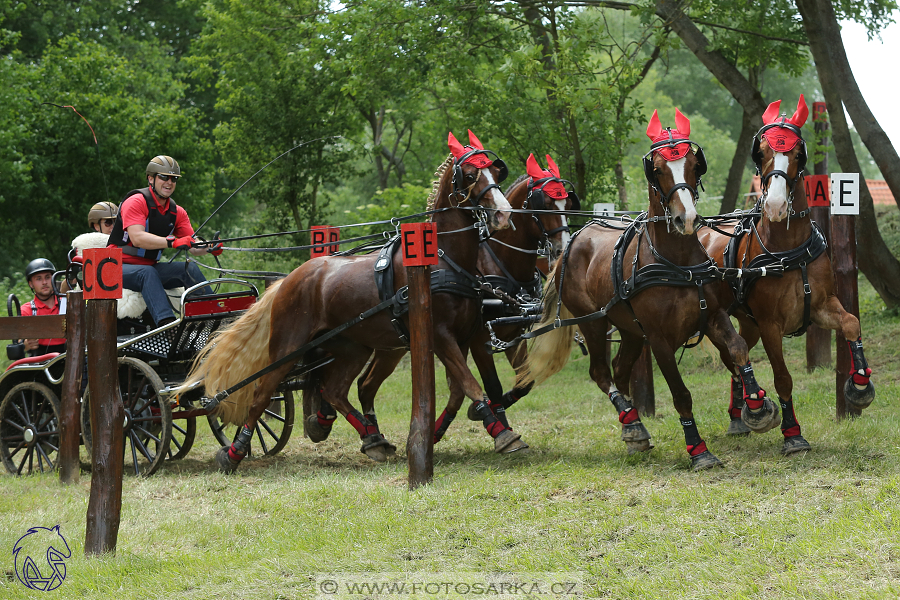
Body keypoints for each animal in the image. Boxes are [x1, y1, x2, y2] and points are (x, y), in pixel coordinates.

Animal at [184, 130, 516, 468]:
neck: (444, 260)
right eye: (471, 175)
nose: (504, 213)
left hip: (353, 347)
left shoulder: (463, 337)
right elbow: (471, 384)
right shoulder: (440, 336)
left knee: (335, 390)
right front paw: (503, 433)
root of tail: (288, 280)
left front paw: (478, 428)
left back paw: (372, 438)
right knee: (262, 393)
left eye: (497, 171)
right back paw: (235, 453)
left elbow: (460, 390)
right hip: (287, 348)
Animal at [342, 155, 580, 450]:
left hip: (391, 346)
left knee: (365, 384)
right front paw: (496, 424)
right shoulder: (479, 339)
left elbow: (525, 382)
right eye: (544, 204)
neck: (499, 264)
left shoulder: (512, 335)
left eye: (568, 204)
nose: (562, 248)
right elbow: (491, 386)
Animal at [700, 95, 876, 454]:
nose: (776, 206)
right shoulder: (770, 325)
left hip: (749, 322)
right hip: (720, 320)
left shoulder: (821, 306)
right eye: (762, 152)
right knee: (733, 354)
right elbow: (782, 377)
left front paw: (860, 384)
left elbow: (851, 323)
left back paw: (740, 416)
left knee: (736, 357)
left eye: (797, 155)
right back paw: (749, 410)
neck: (788, 252)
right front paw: (792, 433)